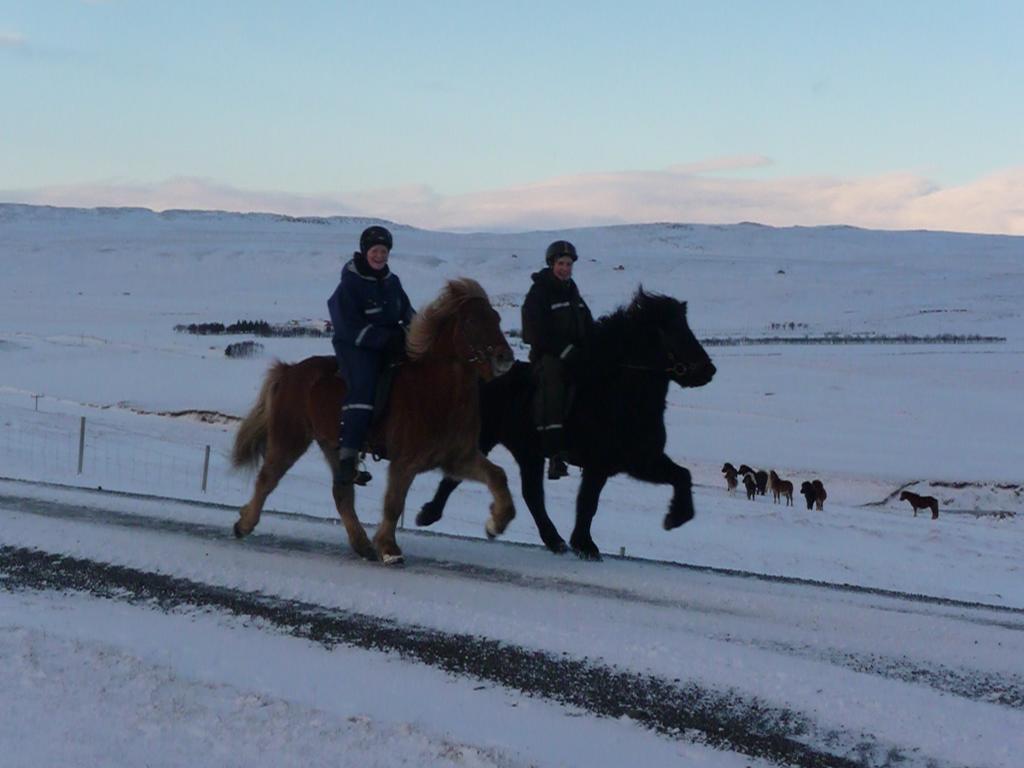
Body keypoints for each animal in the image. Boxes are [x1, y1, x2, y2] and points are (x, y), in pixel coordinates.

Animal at [234, 278, 516, 565]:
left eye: (496, 317)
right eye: (470, 321)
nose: (505, 357)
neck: (436, 392)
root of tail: (289, 371)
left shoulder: (458, 458)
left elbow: (498, 476)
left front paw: (497, 523)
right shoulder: (405, 462)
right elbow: (393, 504)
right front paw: (389, 549)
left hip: (333, 446)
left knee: (342, 494)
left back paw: (362, 546)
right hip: (290, 439)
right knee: (267, 479)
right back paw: (244, 524)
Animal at [413, 288, 712, 561]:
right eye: (675, 332)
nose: (709, 370)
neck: (619, 393)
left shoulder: (642, 460)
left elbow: (682, 475)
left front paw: (676, 517)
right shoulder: (604, 464)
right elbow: (588, 503)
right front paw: (586, 545)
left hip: (528, 453)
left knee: (531, 494)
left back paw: (552, 539)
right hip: (488, 439)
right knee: (464, 479)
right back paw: (429, 514)